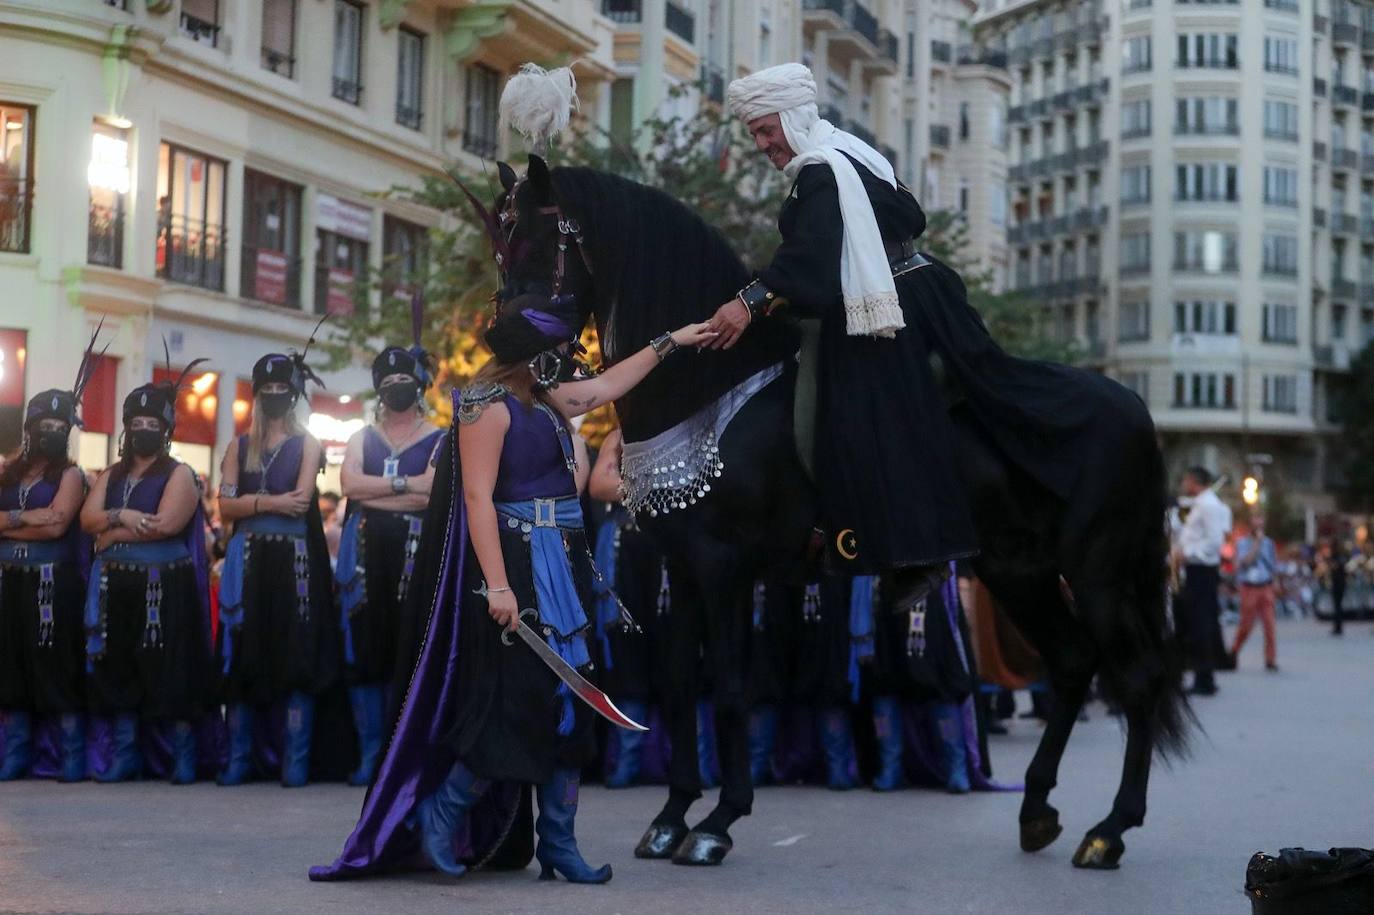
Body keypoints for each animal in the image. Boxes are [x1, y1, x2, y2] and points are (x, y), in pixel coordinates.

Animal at [475, 153, 1192, 868]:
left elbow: (729, 691)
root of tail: (1134, 408)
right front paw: (671, 815)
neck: (712, 392)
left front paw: (718, 821)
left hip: (1097, 571)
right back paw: (1039, 809)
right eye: (499, 246)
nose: (502, 341)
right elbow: (680, 686)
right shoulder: (684, 570)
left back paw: (1110, 828)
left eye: (538, 239)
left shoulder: (726, 569)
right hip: (1018, 568)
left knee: (1138, 676)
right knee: (1071, 661)